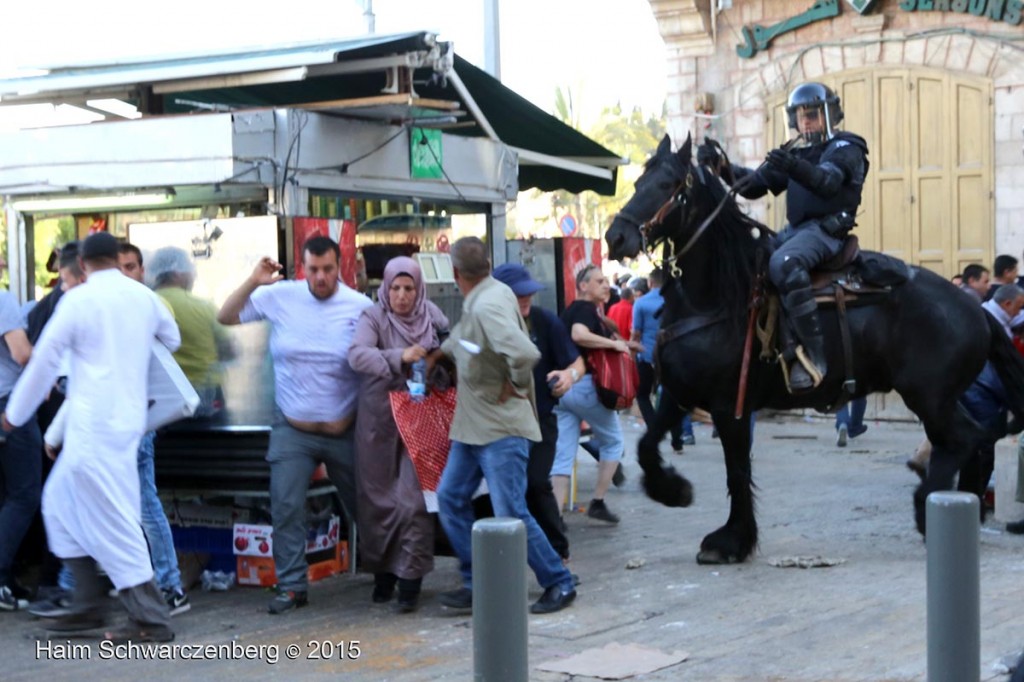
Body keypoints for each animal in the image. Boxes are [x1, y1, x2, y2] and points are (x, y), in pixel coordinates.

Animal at [602, 134, 1024, 561]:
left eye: (668, 185)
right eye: (639, 183)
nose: (616, 237)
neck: (715, 297)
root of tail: (975, 308)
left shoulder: (728, 406)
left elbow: (737, 471)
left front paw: (733, 539)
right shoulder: (679, 394)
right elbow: (646, 445)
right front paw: (674, 491)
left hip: (929, 398)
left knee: (962, 440)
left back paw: (929, 508)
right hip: (938, 400)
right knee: (968, 441)